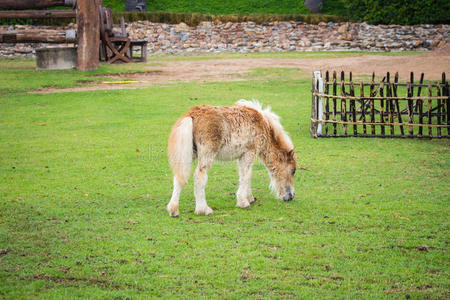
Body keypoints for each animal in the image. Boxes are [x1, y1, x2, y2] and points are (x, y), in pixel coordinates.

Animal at [167, 100, 298, 216]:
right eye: (293, 171)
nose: (291, 196)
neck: (262, 124)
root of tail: (192, 114)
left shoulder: (242, 156)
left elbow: (246, 175)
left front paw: (249, 198)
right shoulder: (249, 153)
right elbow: (246, 175)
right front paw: (243, 202)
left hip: (188, 154)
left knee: (178, 177)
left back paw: (173, 210)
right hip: (207, 155)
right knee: (199, 176)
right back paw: (203, 210)